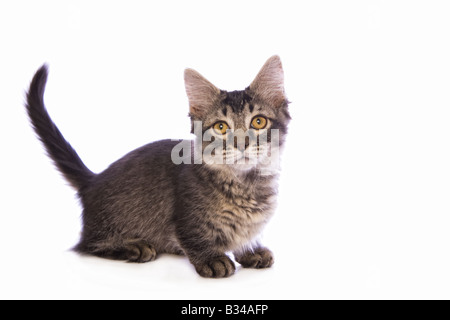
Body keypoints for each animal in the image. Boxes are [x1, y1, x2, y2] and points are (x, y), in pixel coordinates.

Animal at [25, 55, 292, 278]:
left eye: (259, 122)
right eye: (221, 127)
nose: (241, 143)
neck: (246, 184)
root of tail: (94, 180)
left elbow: (245, 234)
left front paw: (250, 249)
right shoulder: (185, 218)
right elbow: (195, 237)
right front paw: (210, 258)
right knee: (88, 245)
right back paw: (135, 246)